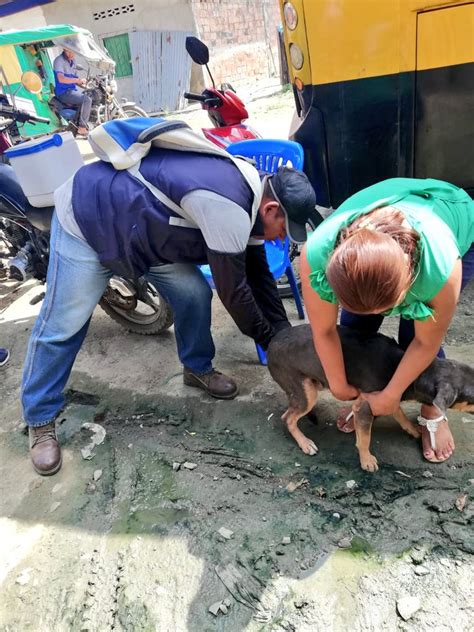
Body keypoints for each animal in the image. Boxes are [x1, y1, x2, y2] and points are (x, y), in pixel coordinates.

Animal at [266, 326, 474, 470]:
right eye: (473, 396)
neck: (414, 374)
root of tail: (270, 344)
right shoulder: (366, 406)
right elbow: (365, 438)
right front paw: (366, 460)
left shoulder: (388, 396)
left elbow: (399, 414)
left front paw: (412, 428)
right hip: (306, 393)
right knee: (287, 417)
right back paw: (305, 443)